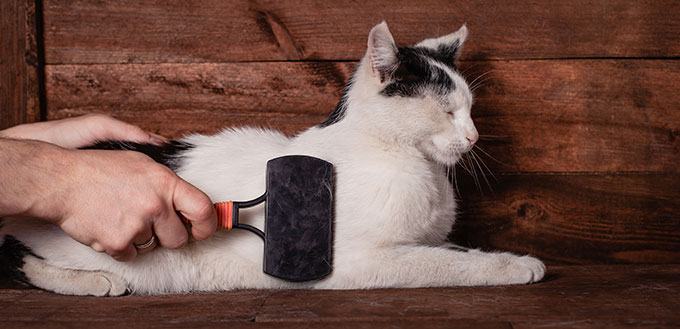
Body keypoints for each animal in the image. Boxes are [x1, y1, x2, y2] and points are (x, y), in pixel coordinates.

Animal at [0, 22, 544, 294]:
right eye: (449, 111)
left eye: (469, 109)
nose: (474, 135)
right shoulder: (363, 260)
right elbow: (442, 263)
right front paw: (515, 265)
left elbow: (450, 249)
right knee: (19, 258)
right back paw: (97, 283)